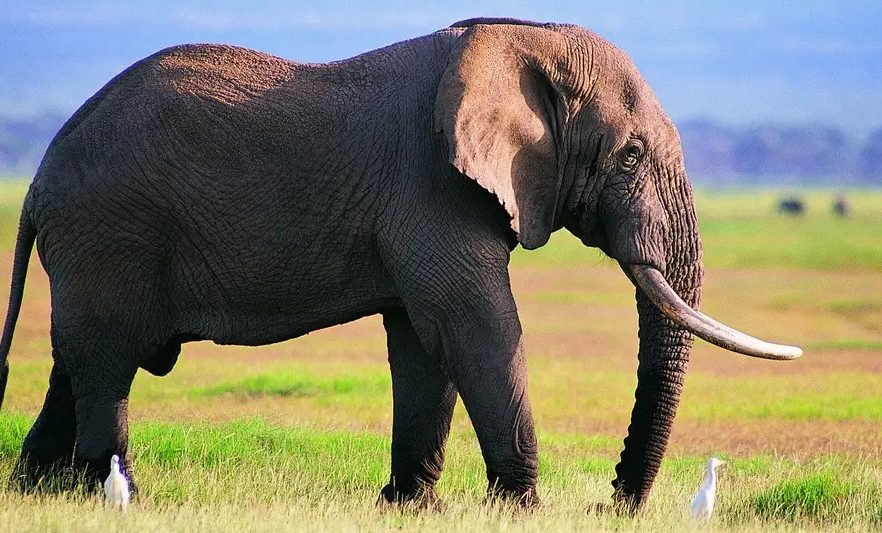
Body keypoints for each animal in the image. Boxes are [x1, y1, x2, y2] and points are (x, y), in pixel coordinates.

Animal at [0, 17, 801, 511]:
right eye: (630, 155)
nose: (616, 504)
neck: (521, 38)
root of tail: (37, 180)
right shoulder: (430, 184)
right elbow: (474, 325)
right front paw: (521, 507)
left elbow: (423, 341)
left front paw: (415, 506)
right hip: (110, 232)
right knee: (107, 363)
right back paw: (121, 496)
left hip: (93, 244)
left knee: (75, 363)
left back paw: (40, 493)